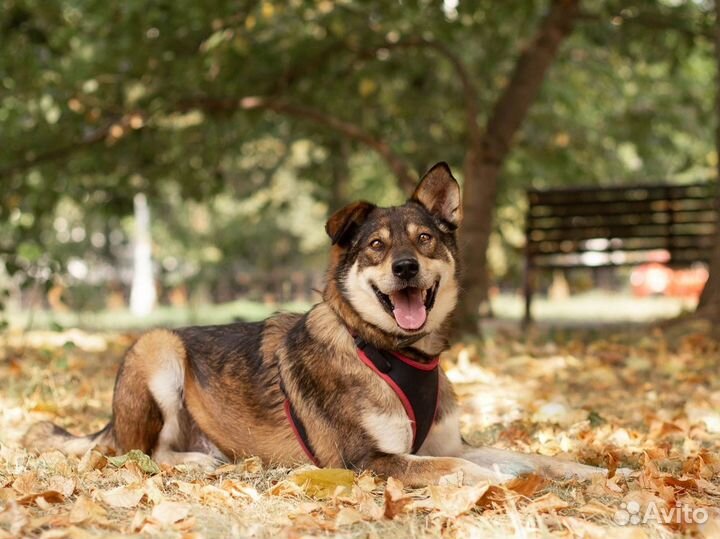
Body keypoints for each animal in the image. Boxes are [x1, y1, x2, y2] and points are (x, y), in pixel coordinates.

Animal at [22, 162, 604, 488]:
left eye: (424, 240)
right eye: (376, 246)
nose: (405, 268)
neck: (389, 349)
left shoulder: (449, 444)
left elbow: (527, 454)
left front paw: (589, 470)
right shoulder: (369, 459)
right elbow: (463, 470)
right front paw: (500, 482)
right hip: (158, 348)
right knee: (139, 454)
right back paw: (194, 464)